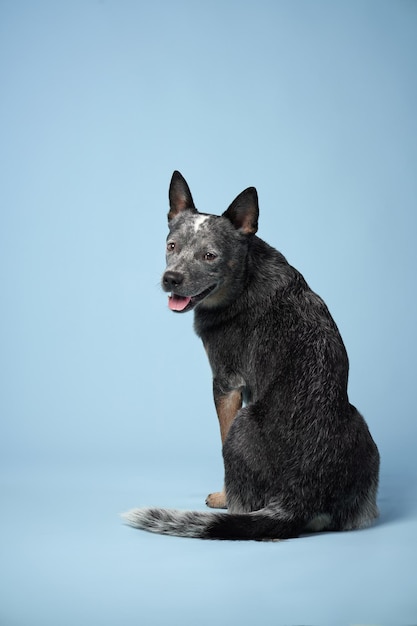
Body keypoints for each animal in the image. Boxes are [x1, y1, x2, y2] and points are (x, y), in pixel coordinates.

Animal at [122, 169, 378, 536]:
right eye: (171, 247)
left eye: (209, 255)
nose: (171, 278)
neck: (243, 279)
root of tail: (298, 499)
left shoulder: (226, 383)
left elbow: (220, 436)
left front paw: (221, 496)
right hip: (362, 429)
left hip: (245, 422)